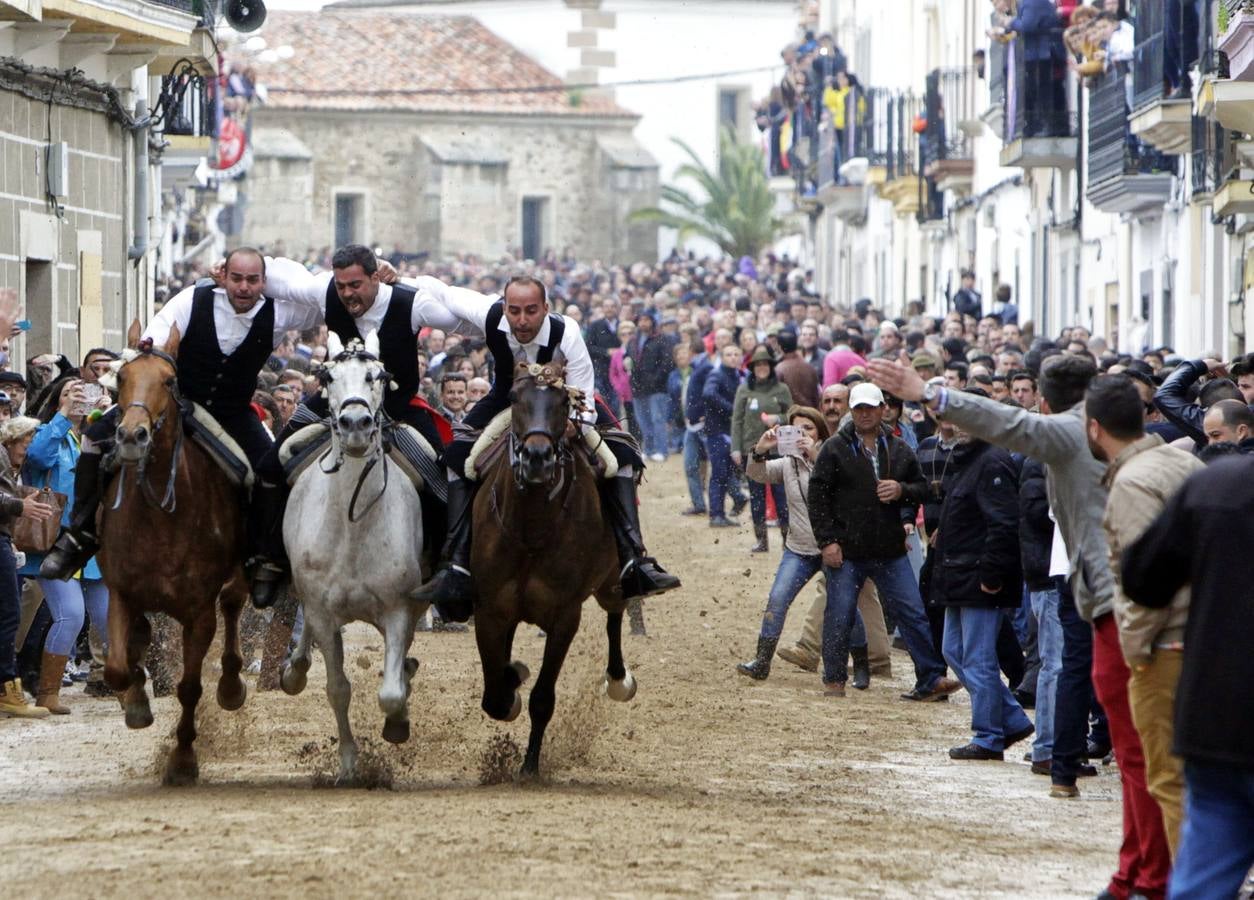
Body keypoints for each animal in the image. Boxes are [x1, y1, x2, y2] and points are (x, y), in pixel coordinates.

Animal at [100, 328, 247, 787]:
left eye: (168, 381)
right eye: (121, 377)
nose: (132, 437)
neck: (159, 514)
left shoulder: (198, 613)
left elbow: (189, 687)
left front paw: (182, 760)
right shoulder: (120, 593)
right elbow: (117, 666)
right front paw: (135, 701)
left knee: (233, 604)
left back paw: (232, 685)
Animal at [278, 330, 426, 782]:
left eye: (377, 375)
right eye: (327, 377)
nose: (356, 425)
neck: (354, 527)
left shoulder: (398, 611)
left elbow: (391, 692)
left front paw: (397, 722)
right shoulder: (325, 615)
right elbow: (337, 688)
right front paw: (347, 764)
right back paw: (294, 668)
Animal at [471, 363, 637, 777]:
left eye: (564, 402)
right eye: (514, 398)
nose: (537, 458)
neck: (531, 528)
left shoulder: (564, 616)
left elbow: (542, 697)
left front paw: (529, 765)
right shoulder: (490, 609)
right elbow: (495, 695)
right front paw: (511, 680)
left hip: (611, 582)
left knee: (615, 614)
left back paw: (618, 680)